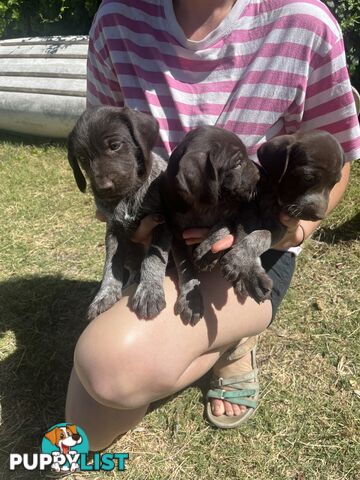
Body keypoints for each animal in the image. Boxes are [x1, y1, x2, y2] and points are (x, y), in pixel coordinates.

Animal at [69, 107, 173, 320]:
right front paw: (105, 294)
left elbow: (152, 259)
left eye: (115, 146)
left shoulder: (161, 224)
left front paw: (149, 291)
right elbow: (111, 265)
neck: (127, 197)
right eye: (82, 159)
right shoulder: (114, 231)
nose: (103, 188)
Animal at [162, 125, 260, 324]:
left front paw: (207, 250)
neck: (204, 207)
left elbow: (222, 226)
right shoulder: (175, 233)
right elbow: (185, 268)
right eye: (237, 164)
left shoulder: (236, 210)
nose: (260, 175)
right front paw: (191, 299)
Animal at [195, 127, 344, 300]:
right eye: (308, 178)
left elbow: (262, 235)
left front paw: (239, 262)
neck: (274, 195)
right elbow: (245, 235)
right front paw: (249, 271)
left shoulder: (281, 227)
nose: (318, 217)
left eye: (334, 183)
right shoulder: (247, 213)